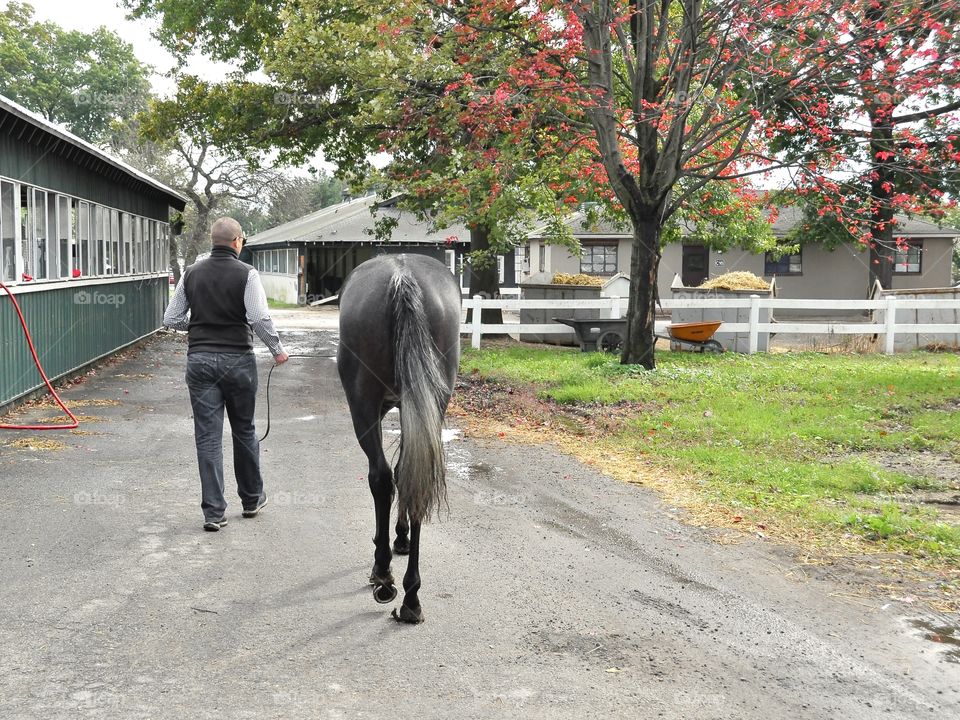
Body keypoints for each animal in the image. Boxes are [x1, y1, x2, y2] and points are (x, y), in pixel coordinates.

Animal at [338, 255, 462, 624]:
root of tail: (402, 275)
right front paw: (402, 536)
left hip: (363, 403)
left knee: (380, 477)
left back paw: (384, 575)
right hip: (432, 400)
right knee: (412, 477)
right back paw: (411, 596)